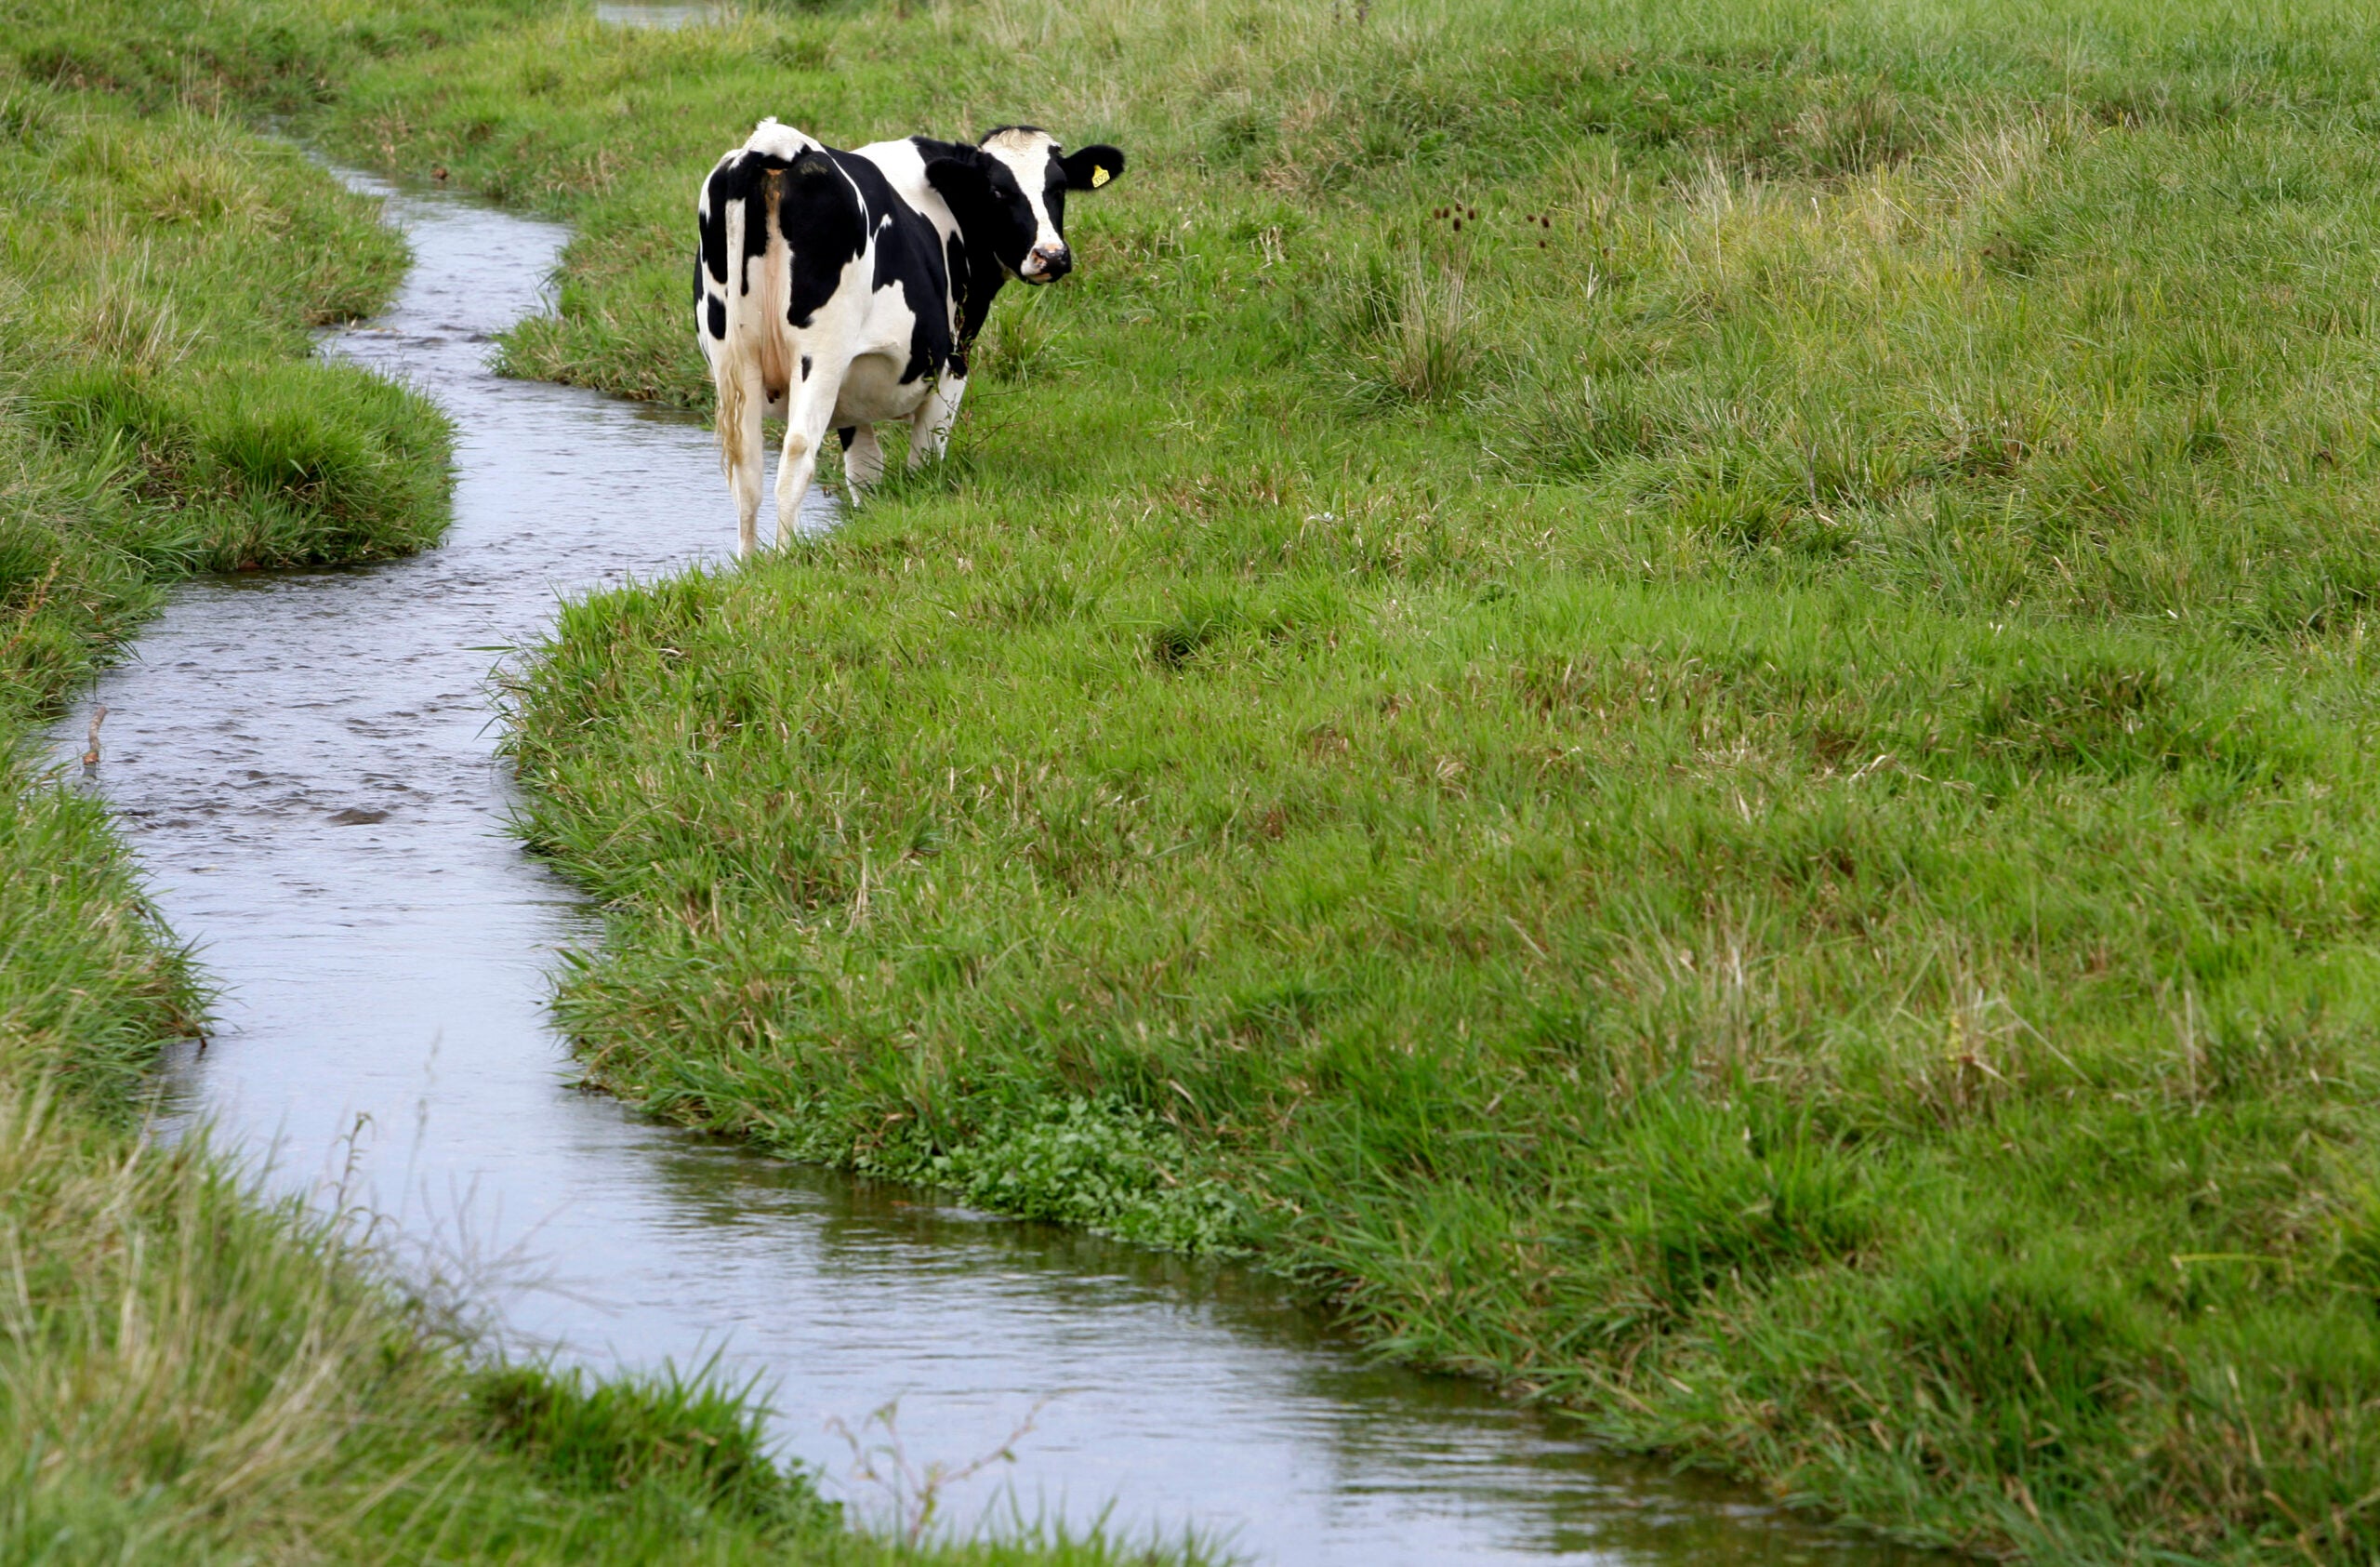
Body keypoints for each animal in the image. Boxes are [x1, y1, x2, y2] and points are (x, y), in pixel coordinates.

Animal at [694, 119, 1125, 555]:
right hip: (820, 356)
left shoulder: (851, 391)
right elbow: (925, 458)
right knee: (797, 452)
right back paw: (787, 557)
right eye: (997, 191)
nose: (1050, 255)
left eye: (1058, 187)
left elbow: (864, 471)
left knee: (746, 470)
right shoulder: (953, 361)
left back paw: (752, 564)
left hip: (736, 360)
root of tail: (776, 144)